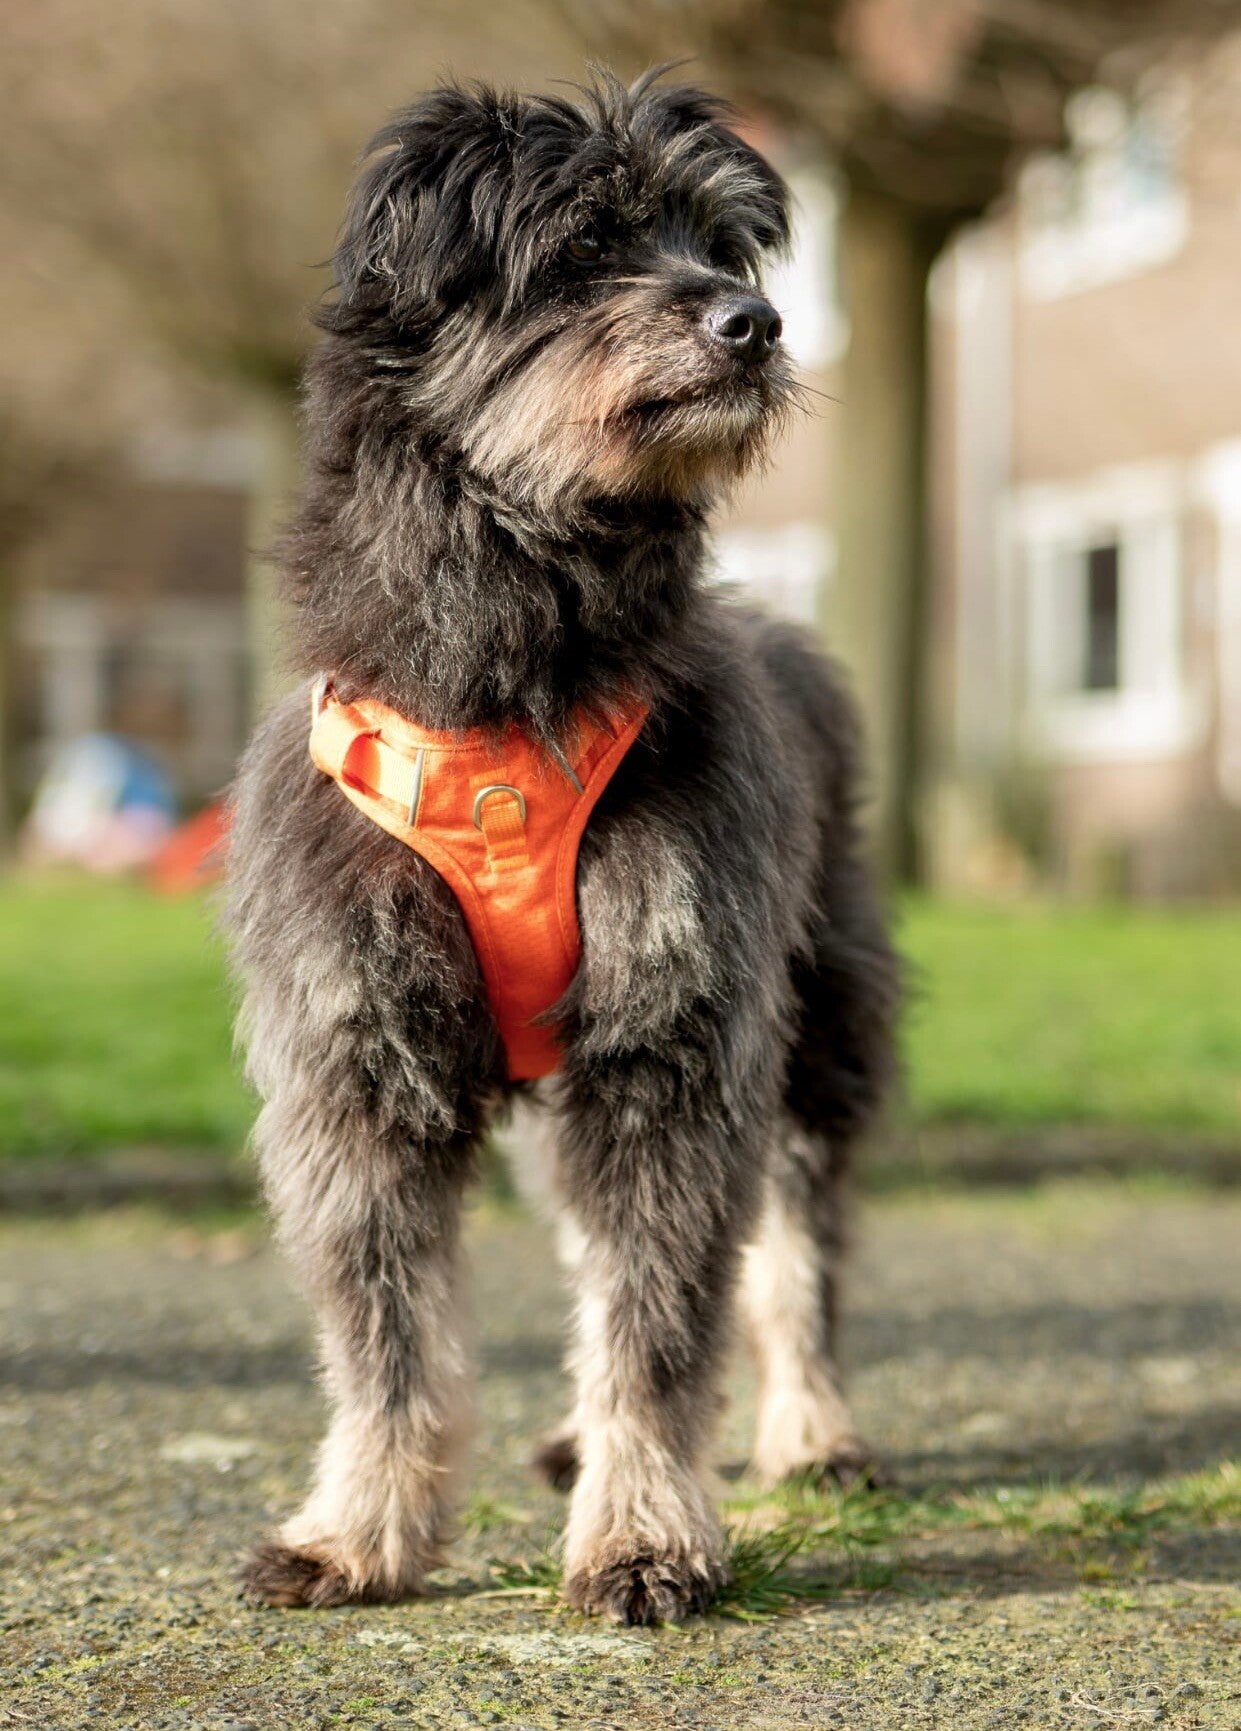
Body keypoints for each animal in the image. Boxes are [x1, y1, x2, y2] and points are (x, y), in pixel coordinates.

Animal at [226, 68, 899, 1626]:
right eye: (586, 245)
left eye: (722, 244)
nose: (754, 322)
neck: (510, 672)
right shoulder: (359, 1072)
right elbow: (389, 1338)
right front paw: (358, 1530)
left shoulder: (672, 1043)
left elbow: (661, 1323)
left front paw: (644, 1533)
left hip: (817, 1038)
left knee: (792, 1256)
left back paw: (810, 1429)